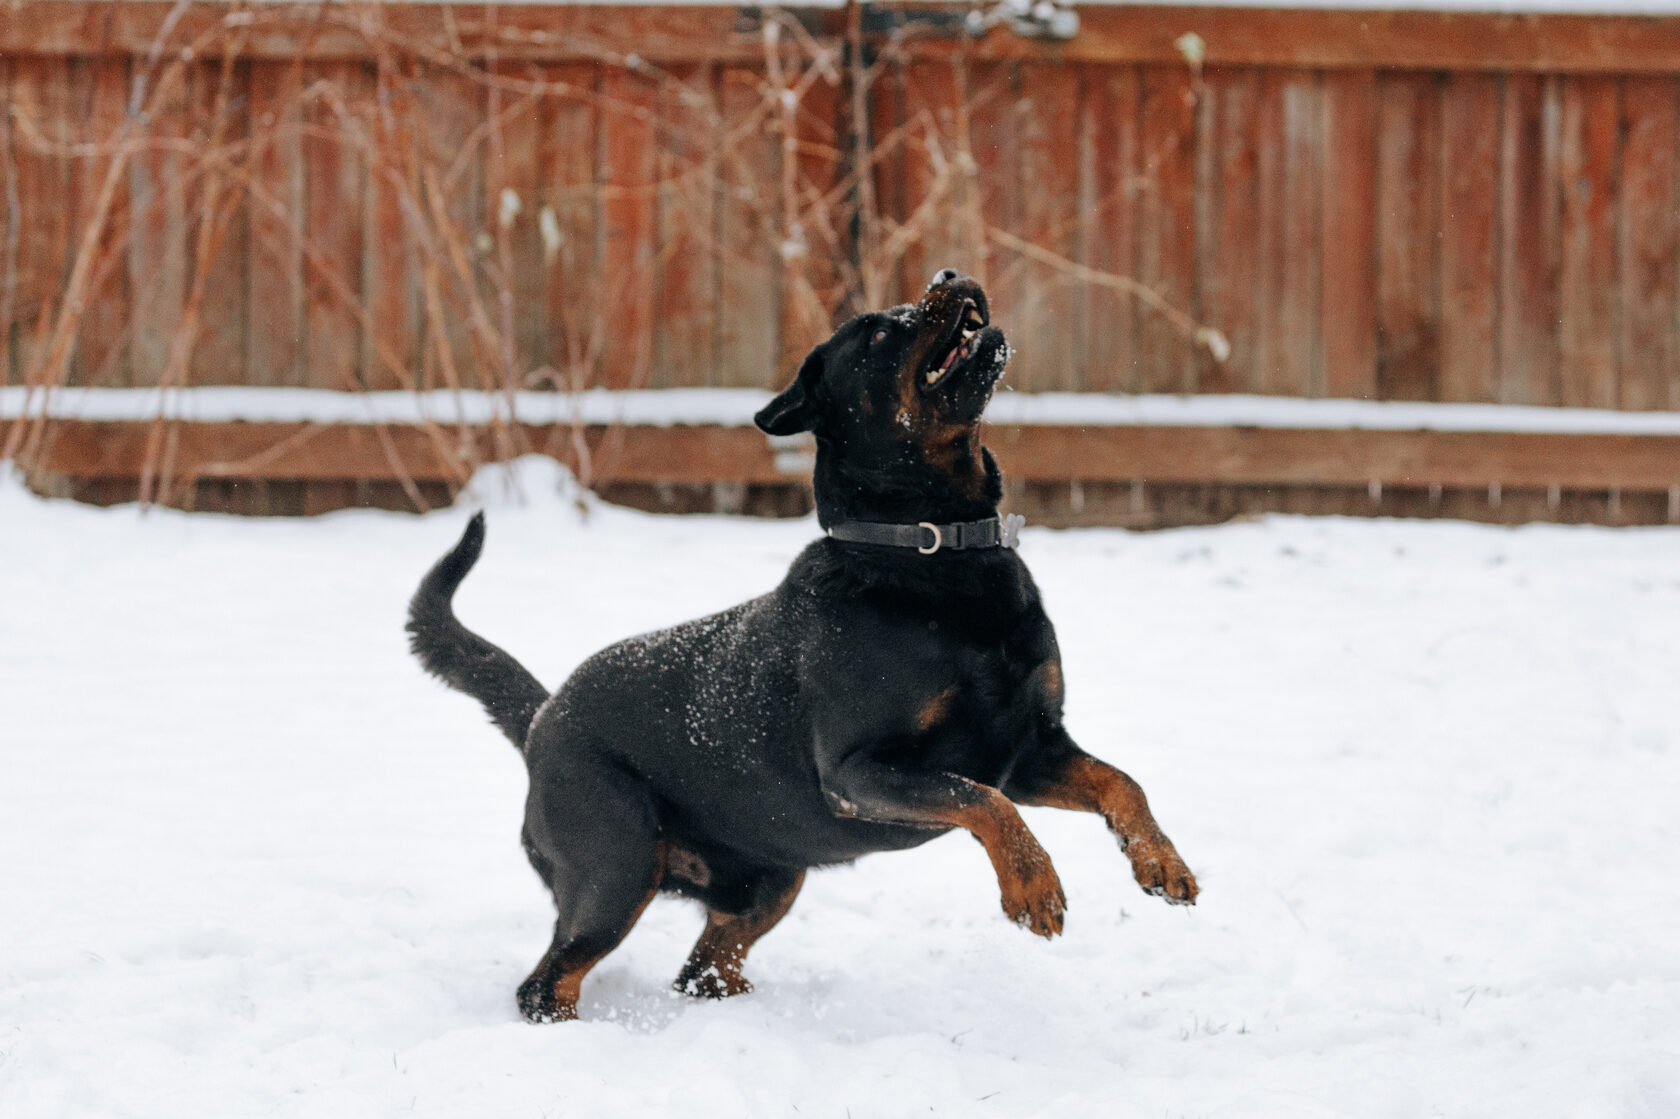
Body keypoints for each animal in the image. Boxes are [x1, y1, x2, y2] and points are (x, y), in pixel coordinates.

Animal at [404, 270, 1196, 1021]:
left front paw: (1162, 863)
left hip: (770, 878)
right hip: (615, 868)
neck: (932, 557)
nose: (950, 274)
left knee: (702, 971)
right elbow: (981, 800)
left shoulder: (1030, 748)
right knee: (547, 983)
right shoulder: (859, 772)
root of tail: (543, 718)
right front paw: (1034, 886)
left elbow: (1119, 782)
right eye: (876, 334)